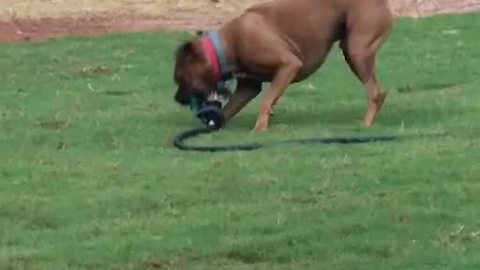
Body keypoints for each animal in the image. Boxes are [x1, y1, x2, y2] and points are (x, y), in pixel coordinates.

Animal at [173, 0, 394, 131]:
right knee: (378, 92)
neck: (226, 47)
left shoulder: (288, 65)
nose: (176, 98)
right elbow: (230, 108)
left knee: (375, 92)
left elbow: (266, 100)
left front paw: (260, 128)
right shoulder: (248, 87)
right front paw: (214, 123)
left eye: (180, 78)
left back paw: (365, 124)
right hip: (353, 50)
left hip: (357, 50)